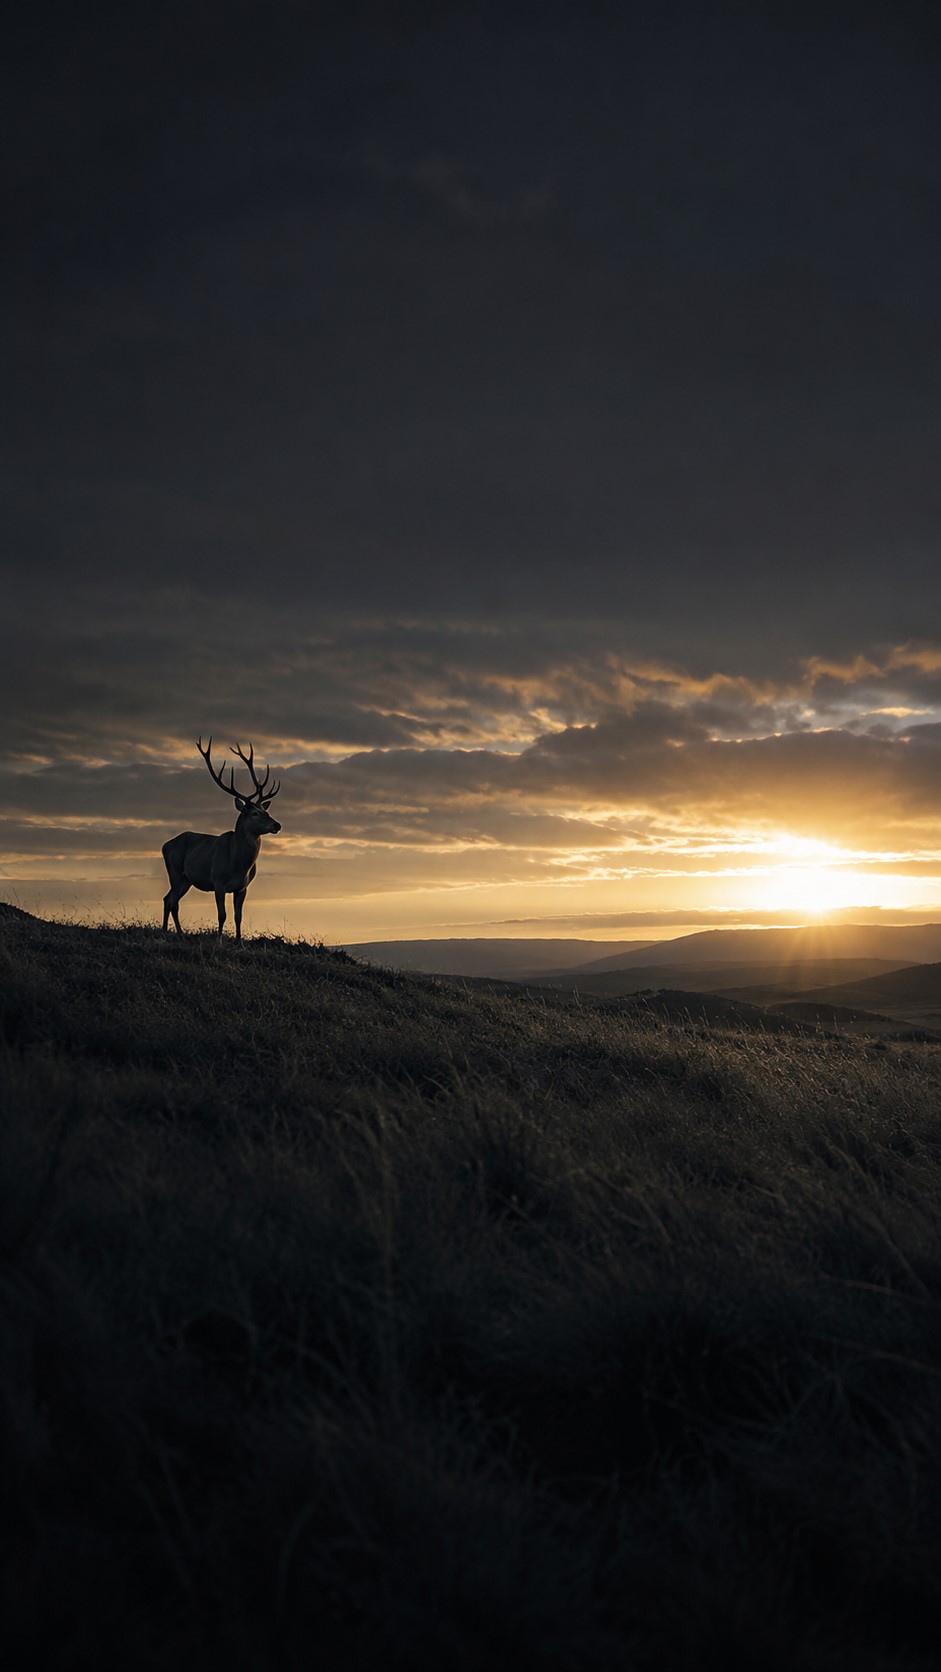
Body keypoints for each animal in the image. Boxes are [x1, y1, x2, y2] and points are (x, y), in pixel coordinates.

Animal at [162, 738, 282, 943]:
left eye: (266, 811)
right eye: (254, 813)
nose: (277, 825)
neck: (239, 864)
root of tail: (165, 845)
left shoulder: (243, 887)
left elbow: (238, 916)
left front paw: (239, 942)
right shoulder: (218, 882)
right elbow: (222, 915)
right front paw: (219, 941)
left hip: (187, 879)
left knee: (167, 899)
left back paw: (163, 931)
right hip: (175, 871)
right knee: (173, 902)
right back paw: (179, 934)